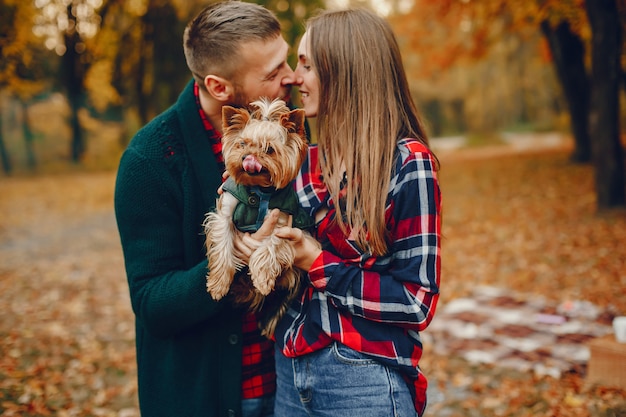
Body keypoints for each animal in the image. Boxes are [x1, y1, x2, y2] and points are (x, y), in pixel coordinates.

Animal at [204, 99, 312, 336]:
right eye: (242, 144)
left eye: (269, 149)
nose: (247, 158)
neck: (259, 190)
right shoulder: (225, 212)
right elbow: (223, 244)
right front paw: (218, 285)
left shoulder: (282, 221)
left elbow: (270, 245)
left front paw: (262, 279)